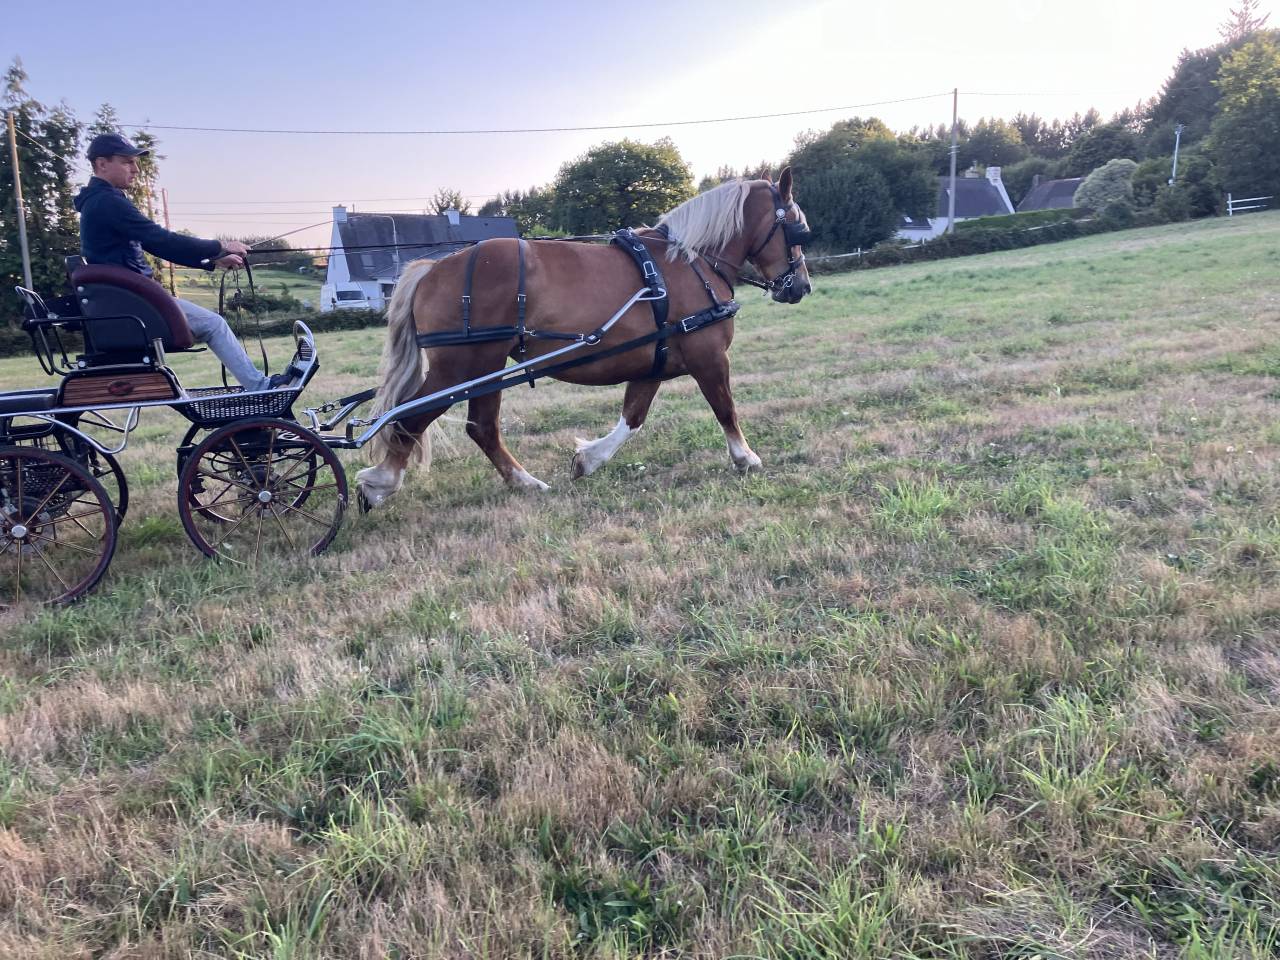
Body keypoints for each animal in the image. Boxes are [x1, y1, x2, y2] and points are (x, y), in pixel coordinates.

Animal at [355, 167, 813, 507]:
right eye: (798, 229)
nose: (801, 287)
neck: (690, 262)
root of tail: (433, 268)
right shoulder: (709, 356)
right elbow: (725, 409)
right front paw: (745, 457)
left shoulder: (653, 362)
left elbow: (633, 418)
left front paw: (589, 460)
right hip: (464, 365)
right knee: (414, 415)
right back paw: (381, 482)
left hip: (484, 366)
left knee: (478, 426)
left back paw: (523, 482)